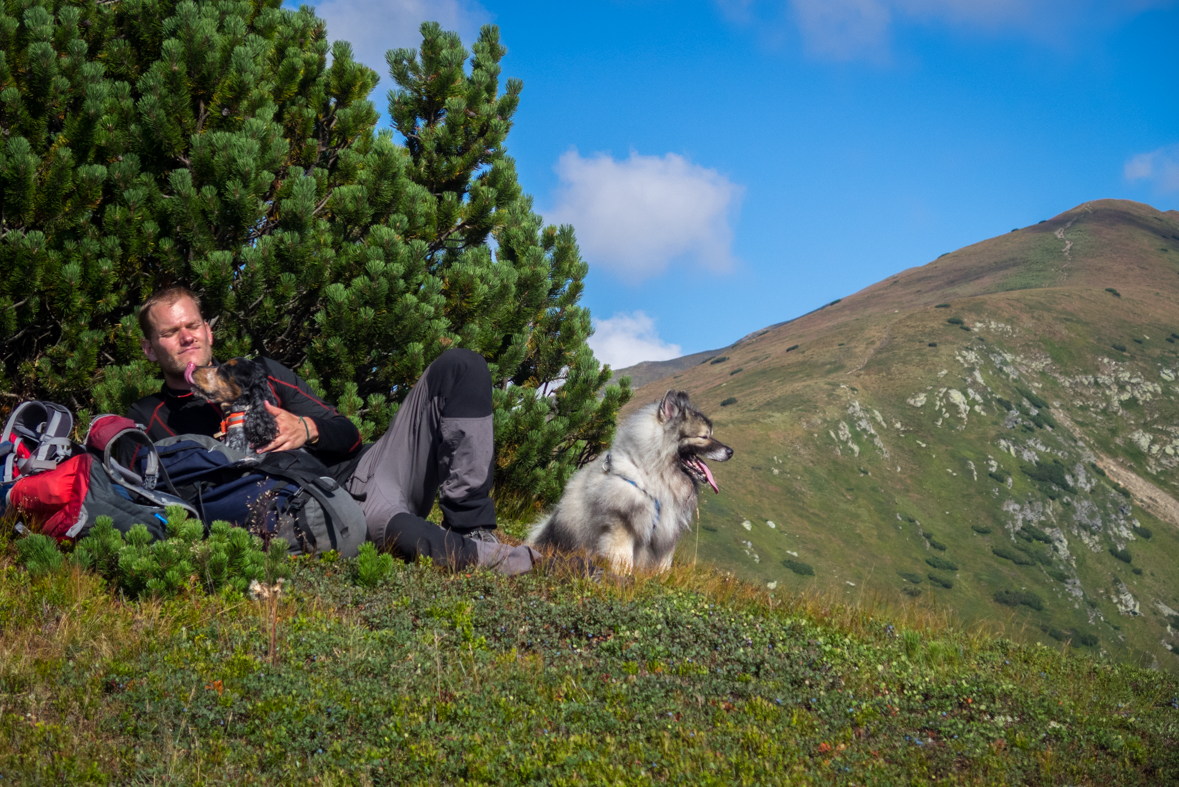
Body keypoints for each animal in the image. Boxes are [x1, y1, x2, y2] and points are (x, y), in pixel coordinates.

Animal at [530, 391, 730, 572]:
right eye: (704, 436)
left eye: (710, 434)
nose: (730, 452)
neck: (653, 474)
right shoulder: (622, 525)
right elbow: (623, 561)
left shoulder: (667, 531)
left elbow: (663, 566)